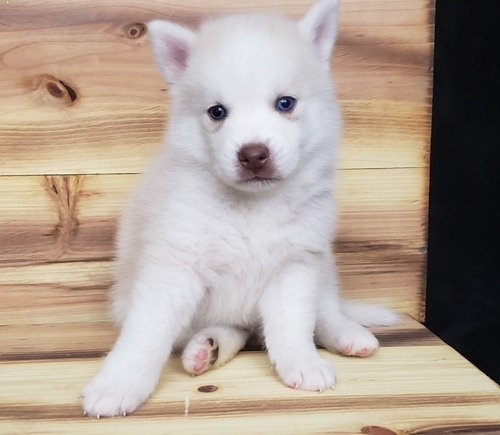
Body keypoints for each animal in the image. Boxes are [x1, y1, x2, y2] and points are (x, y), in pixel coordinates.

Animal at [84, 0, 400, 418]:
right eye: (217, 112)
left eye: (285, 103)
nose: (253, 154)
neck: (252, 208)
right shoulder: (174, 269)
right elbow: (146, 333)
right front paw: (118, 383)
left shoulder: (296, 265)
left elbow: (293, 325)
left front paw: (302, 363)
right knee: (233, 328)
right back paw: (207, 348)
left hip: (324, 266)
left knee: (326, 310)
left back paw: (347, 334)